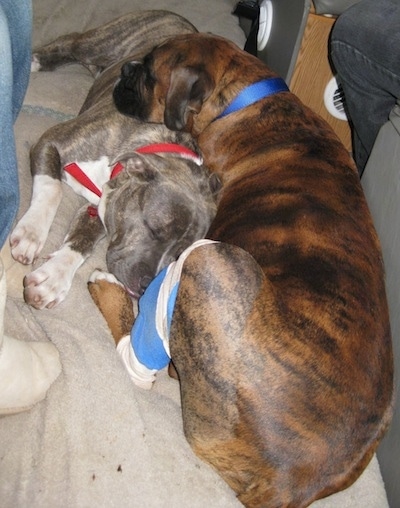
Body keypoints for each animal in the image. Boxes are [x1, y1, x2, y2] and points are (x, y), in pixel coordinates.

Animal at [9, 11, 220, 308]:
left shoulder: (106, 204)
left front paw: (54, 276)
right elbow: (52, 189)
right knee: (70, 42)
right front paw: (31, 233)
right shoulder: (51, 141)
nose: (145, 288)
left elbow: (83, 239)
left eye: (179, 255)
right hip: (99, 42)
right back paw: (34, 60)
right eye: (153, 229)